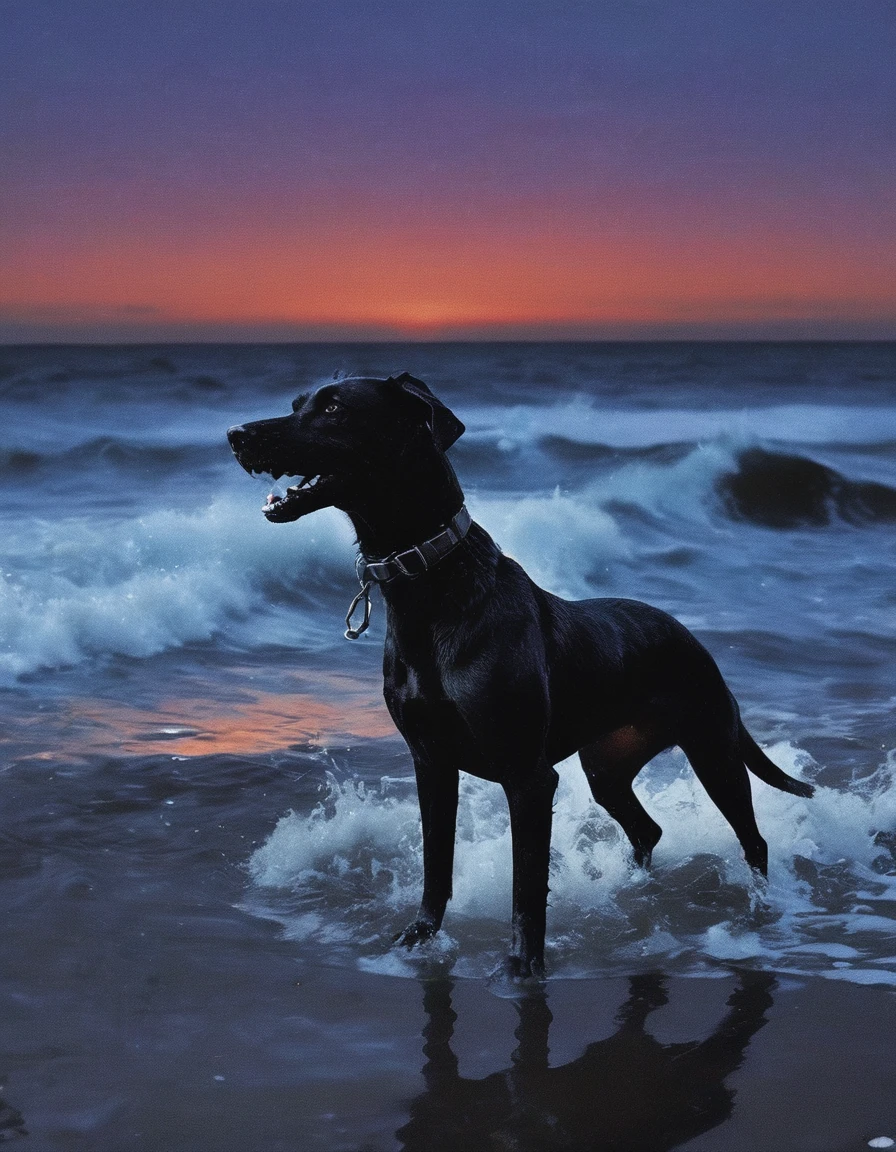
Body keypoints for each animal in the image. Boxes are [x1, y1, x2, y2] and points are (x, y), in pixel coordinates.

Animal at [226, 373, 815, 976]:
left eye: (334, 409)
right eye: (297, 404)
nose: (236, 435)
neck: (431, 581)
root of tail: (695, 642)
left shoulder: (528, 778)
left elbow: (526, 888)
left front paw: (522, 967)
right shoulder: (430, 762)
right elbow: (436, 863)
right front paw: (422, 935)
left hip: (712, 747)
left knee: (753, 839)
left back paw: (759, 910)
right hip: (607, 765)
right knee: (646, 827)